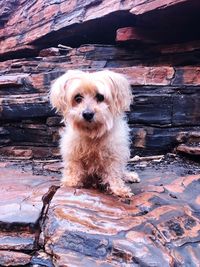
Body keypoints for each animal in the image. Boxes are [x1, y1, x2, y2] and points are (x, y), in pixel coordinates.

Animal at [50, 70, 139, 198]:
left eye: (100, 97)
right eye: (78, 98)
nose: (87, 114)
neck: (92, 133)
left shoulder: (114, 155)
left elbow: (114, 173)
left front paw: (119, 189)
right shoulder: (73, 152)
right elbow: (74, 168)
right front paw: (71, 182)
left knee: (121, 171)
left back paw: (129, 176)